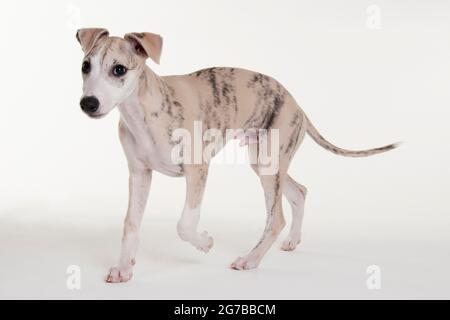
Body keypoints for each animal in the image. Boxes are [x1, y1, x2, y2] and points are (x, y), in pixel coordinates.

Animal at [75, 28, 400, 282]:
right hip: (266, 163)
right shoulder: (139, 173)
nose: (88, 103)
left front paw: (205, 243)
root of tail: (297, 104)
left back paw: (251, 259)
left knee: (276, 218)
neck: (143, 111)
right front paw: (123, 268)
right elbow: (130, 223)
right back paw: (292, 241)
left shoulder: (197, 169)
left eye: (119, 69)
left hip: (269, 165)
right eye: (85, 66)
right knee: (299, 192)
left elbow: (184, 223)